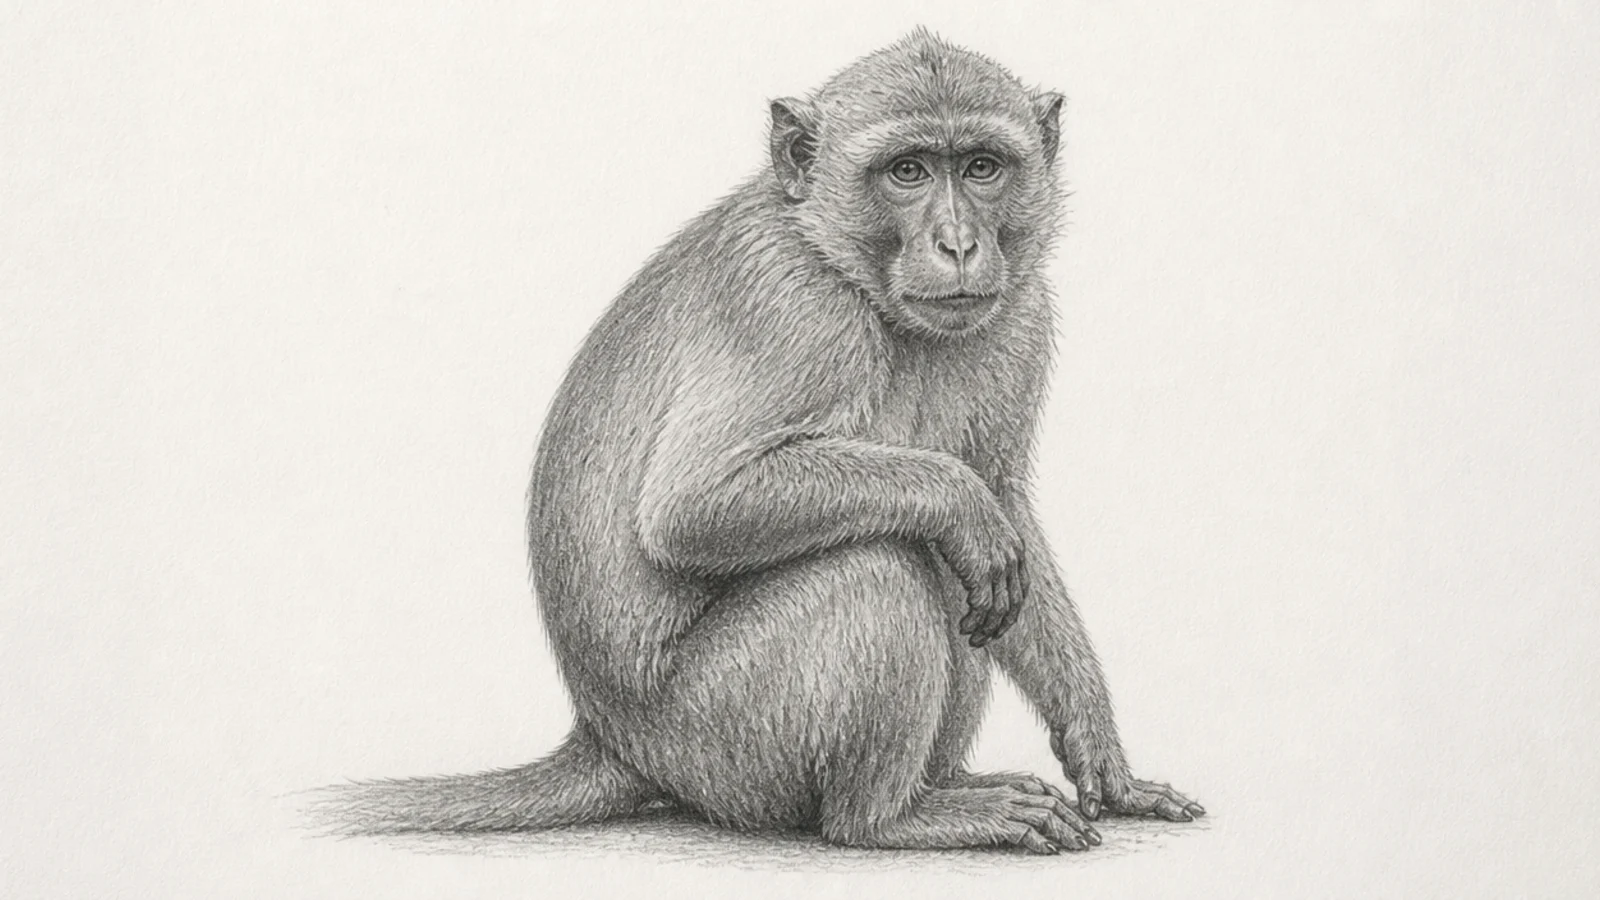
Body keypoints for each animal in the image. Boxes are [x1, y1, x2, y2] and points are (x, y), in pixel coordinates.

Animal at [314, 29, 1203, 855]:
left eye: (982, 166)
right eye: (908, 171)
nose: (958, 244)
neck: (848, 269)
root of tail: (613, 738)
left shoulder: (1020, 315)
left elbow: (1007, 506)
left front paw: (1100, 753)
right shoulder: (792, 309)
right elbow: (694, 508)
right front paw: (958, 502)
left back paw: (938, 785)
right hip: (720, 735)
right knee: (877, 563)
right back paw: (890, 816)